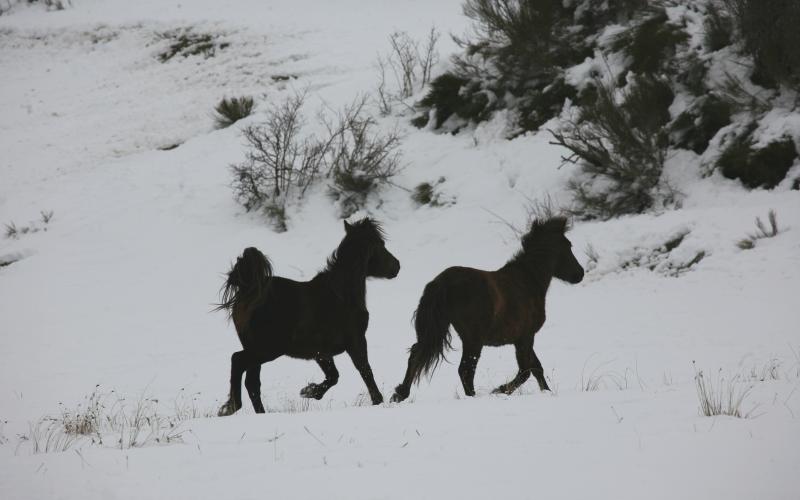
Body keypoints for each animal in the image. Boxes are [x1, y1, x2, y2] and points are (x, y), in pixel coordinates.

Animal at [216, 217, 400, 416]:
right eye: (380, 244)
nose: (397, 266)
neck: (341, 295)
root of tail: (248, 290)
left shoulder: (322, 352)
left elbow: (333, 376)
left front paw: (309, 391)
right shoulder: (356, 341)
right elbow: (365, 370)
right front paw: (378, 401)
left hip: (257, 349)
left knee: (252, 383)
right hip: (267, 349)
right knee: (238, 361)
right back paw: (231, 407)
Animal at [392, 216, 584, 402]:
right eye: (568, 246)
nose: (580, 274)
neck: (528, 281)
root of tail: (442, 283)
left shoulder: (522, 338)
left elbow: (536, 368)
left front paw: (546, 392)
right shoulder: (526, 337)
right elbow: (526, 371)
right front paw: (499, 390)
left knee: (416, 355)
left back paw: (399, 394)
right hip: (473, 340)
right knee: (466, 370)